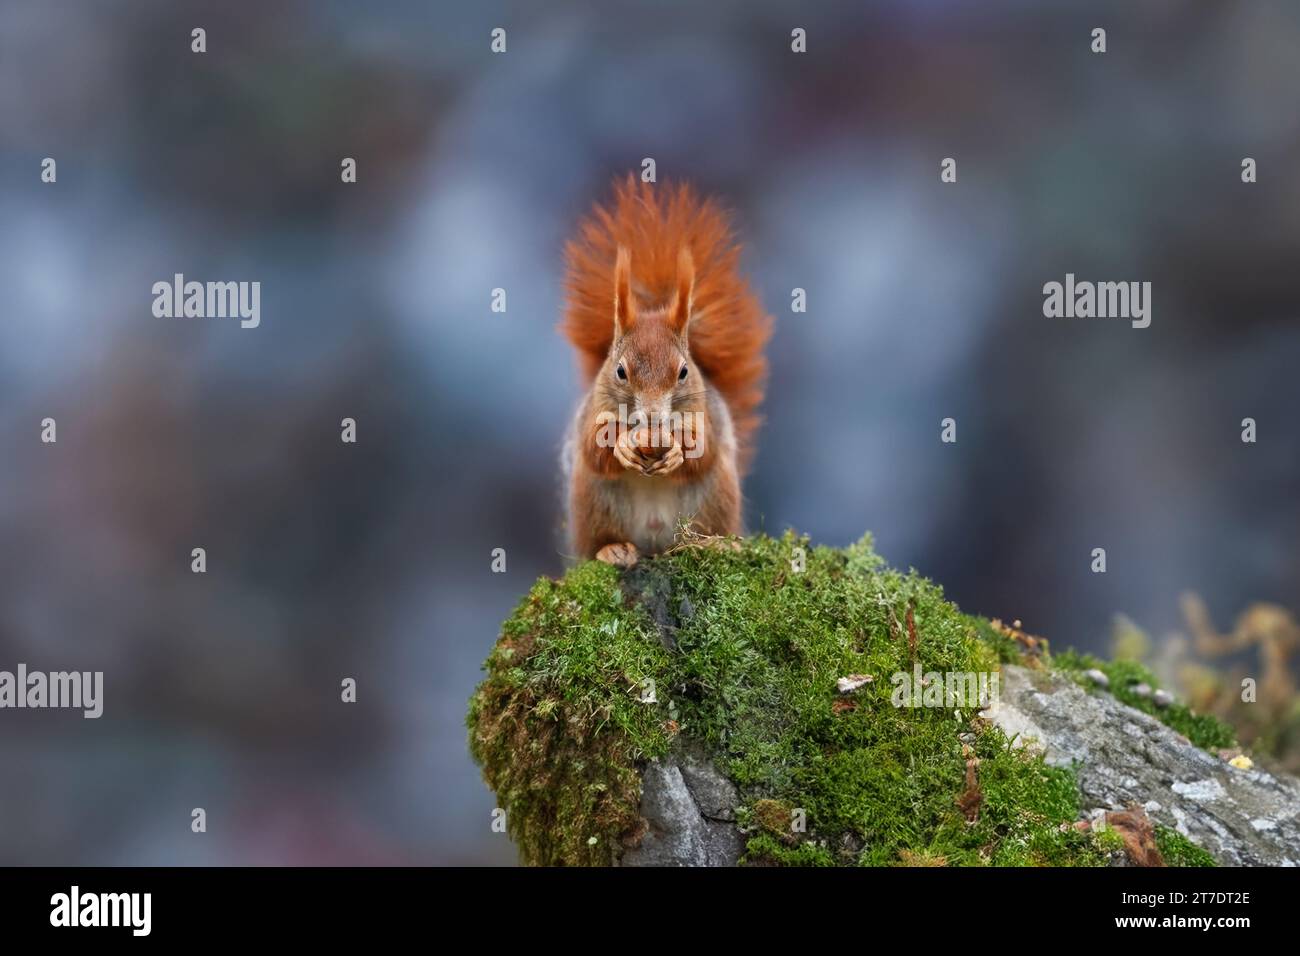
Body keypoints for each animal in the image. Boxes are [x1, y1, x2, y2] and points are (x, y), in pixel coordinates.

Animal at [559, 178, 769, 567]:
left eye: (684, 371)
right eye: (620, 371)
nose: (654, 417)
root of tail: (656, 544)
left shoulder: (705, 415)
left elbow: (704, 449)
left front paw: (677, 452)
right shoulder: (593, 412)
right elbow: (594, 448)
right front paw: (622, 444)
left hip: (714, 497)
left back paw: (716, 544)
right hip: (593, 500)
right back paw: (611, 549)